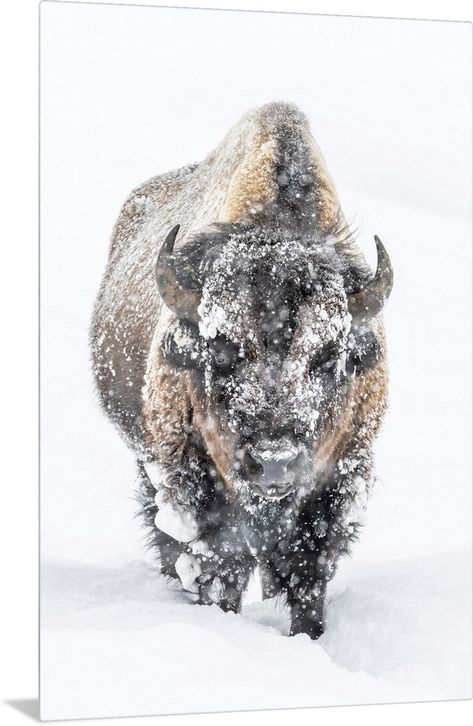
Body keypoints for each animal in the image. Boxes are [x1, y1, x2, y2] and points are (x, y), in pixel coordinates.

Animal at [90, 104, 392, 644]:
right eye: (221, 349)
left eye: (327, 356)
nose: (274, 464)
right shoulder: (195, 481)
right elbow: (219, 566)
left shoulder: (337, 482)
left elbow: (309, 574)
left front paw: (309, 637)